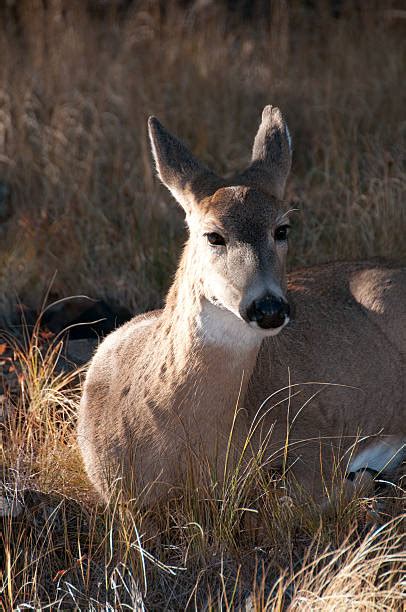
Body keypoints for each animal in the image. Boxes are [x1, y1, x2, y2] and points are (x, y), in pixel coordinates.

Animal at [77, 106, 406, 506]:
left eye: (282, 229)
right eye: (213, 235)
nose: (268, 308)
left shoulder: (316, 433)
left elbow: (301, 497)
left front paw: (365, 478)